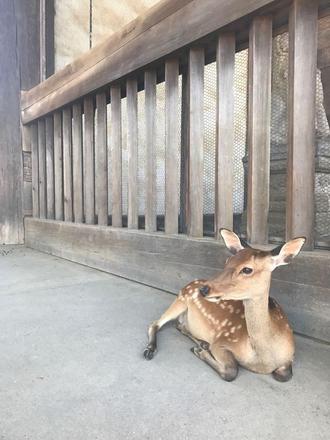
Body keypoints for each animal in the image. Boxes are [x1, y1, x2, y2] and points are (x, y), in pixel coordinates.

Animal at [143, 230, 306, 382]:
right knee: (155, 323)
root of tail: (191, 283)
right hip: (181, 299)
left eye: (247, 269)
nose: (204, 289)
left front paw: (201, 349)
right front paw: (200, 352)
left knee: (179, 325)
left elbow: (285, 375)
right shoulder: (222, 341)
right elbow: (231, 371)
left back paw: (202, 343)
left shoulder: (289, 358)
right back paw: (151, 349)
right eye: (227, 260)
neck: (263, 360)